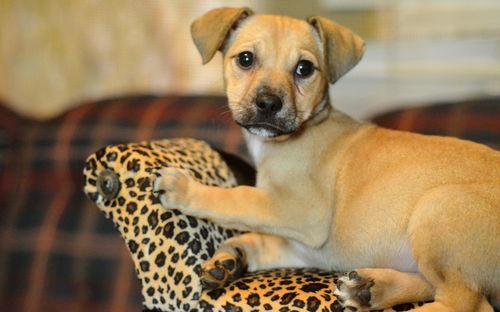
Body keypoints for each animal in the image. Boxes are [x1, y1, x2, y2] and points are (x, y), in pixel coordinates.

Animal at [153, 7, 500, 312]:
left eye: (304, 68)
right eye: (246, 59)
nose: (268, 104)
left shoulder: (299, 210)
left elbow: (236, 199)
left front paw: (184, 189)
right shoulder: (300, 245)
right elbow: (257, 237)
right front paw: (231, 258)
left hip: (438, 208)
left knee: (468, 303)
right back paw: (369, 289)